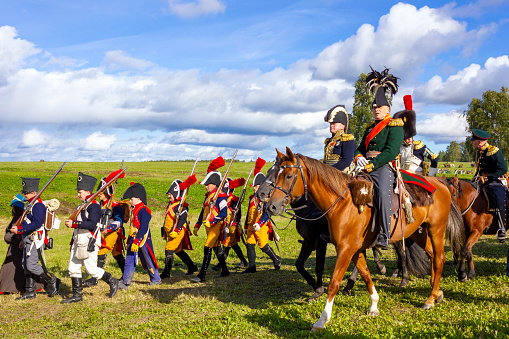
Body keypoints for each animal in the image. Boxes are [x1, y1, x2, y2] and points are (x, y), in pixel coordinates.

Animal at [266, 149, 464, 332]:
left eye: (289, 175)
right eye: (275, 174)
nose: (271, 206)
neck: (343, 202)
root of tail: (440, 184)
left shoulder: (344, 249)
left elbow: (334, 283)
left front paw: (322, 320)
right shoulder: (354, 249)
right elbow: (366, 274)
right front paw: (374, 305)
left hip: (436, 230)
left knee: (439, 259)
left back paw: (430, 298)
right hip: (418, 233)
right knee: (432, 256)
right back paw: (436, 292)